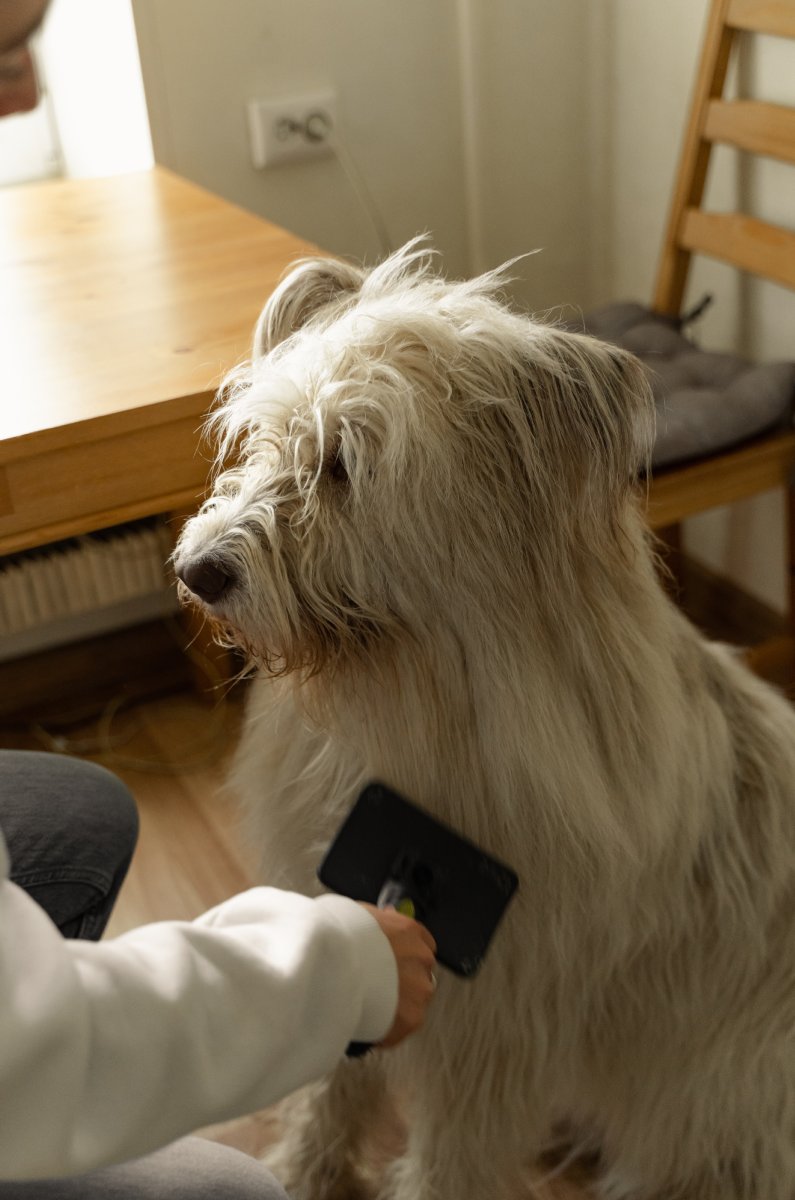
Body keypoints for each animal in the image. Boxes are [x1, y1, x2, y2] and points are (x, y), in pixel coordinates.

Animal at [176, 243, 795, 1200]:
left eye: (342, 463)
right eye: (267, 439)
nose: (196, 570)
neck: (417, 705)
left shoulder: (491, 1030)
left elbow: (451, 1158)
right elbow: (331, 1077)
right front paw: (307, 1171)